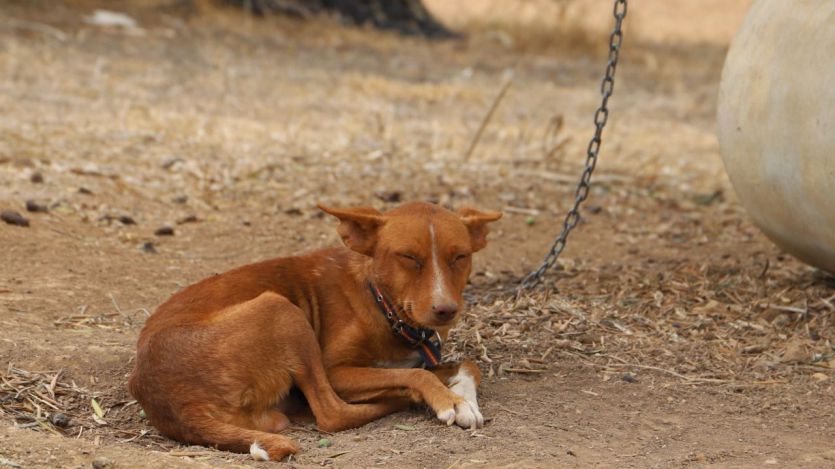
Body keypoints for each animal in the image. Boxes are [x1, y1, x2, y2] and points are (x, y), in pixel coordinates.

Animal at [127, 199, 500, 458]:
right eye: (408, 257)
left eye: (460, 257)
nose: (445, 310)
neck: (380, 303)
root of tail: (169, 401)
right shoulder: (336, 371)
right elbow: (416, 374)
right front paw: (446, 398)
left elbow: (469, 365)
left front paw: (464, 399)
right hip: (281, 309)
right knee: (332, 413)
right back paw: (399, 398)